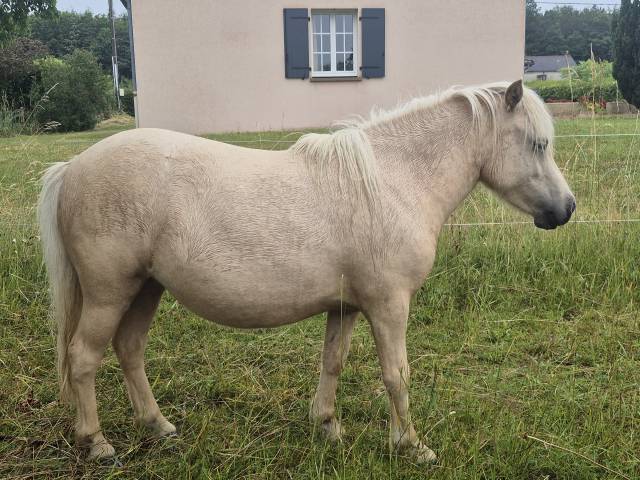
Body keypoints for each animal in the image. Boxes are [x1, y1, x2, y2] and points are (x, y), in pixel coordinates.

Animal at [38, 80, 575, 463]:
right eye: (537, 144)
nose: (566, 209)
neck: (393, 181)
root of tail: (72, 168)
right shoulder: (388, 306)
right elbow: (396, 375)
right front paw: (411, 445)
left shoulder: (347, 307)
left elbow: (332, 363)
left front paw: (328, 427)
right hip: (110, 292)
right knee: (83, 357)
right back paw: (97, 443)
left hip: (146, 288)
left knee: (129, 350)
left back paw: (159, 427)